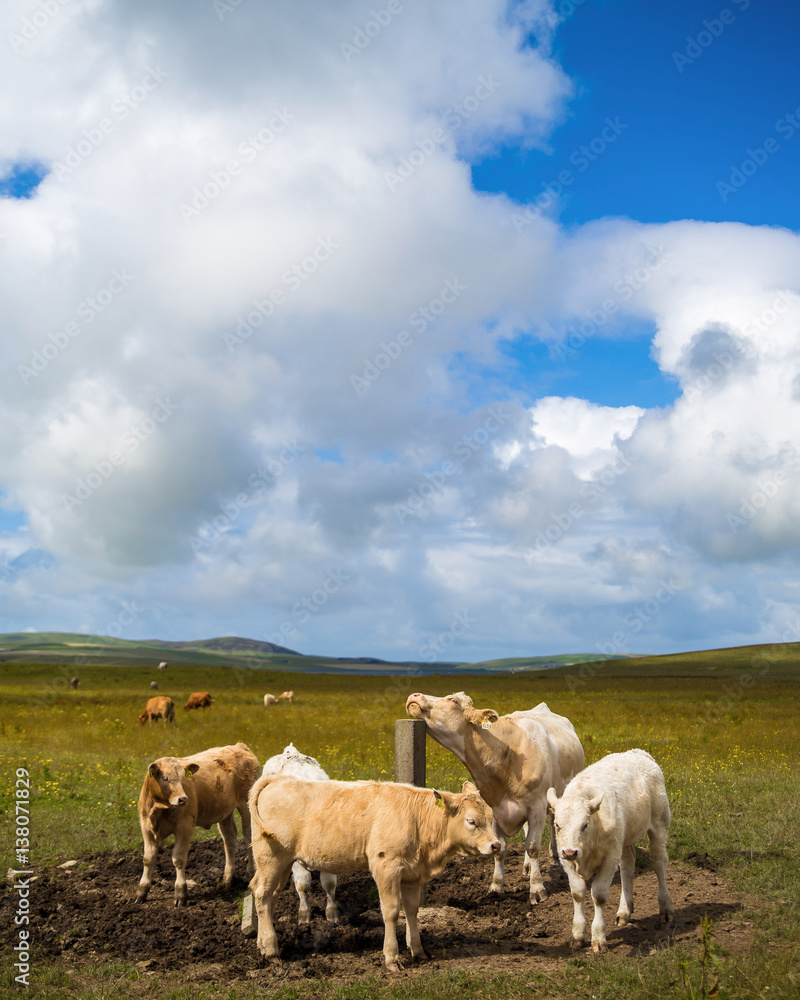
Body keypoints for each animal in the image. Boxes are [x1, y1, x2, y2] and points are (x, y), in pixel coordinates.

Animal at [136, 742, 260, 906]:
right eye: (165, 778)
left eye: (183, 778)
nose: (183, 799)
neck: (159, 808)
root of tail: (239, 746)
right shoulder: (146, 827)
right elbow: (148, 859)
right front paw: (142, 891)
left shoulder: (184, 826)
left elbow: (178, 859)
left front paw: (180, 893)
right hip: (225, 810)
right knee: (229, 838)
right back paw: (228, 879)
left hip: (246, 804)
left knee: (248, 835)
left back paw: (250, 873)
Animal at [248, 776, 502, 972]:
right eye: (471, 821)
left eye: (491, 818)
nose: (496, 845)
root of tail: (278, 779)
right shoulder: (386, 867)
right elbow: (391, 911)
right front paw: (392, 957)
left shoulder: (412, 876)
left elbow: (411, 910)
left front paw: (417, 950)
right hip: (272, 858)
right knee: (262, 895)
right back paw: (271, 951)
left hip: (279, 865)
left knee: (267, 897)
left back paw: (262, 946)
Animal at [406, 691, 584, 903]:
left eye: (453, 700)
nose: (415, 695)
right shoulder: (494, 808)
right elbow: (500, 849)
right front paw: (496, 886)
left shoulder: (537, 806)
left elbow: (533, 847)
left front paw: (537, 888)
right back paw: (526, 866)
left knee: (552, 819)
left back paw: (555, 857)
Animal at [547, 748, 674, 953]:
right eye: (557, 825)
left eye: (585, 824)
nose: (570, 852)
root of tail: (639, 753)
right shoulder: (567, 862)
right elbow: (577, 893)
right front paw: (578, 934)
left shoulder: (609, 859)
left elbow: (598, 895)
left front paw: (598, 937)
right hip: (623, 839)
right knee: (628, 864)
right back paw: (624, 911)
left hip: (659, 824)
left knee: (659, 863)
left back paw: (665, 908)